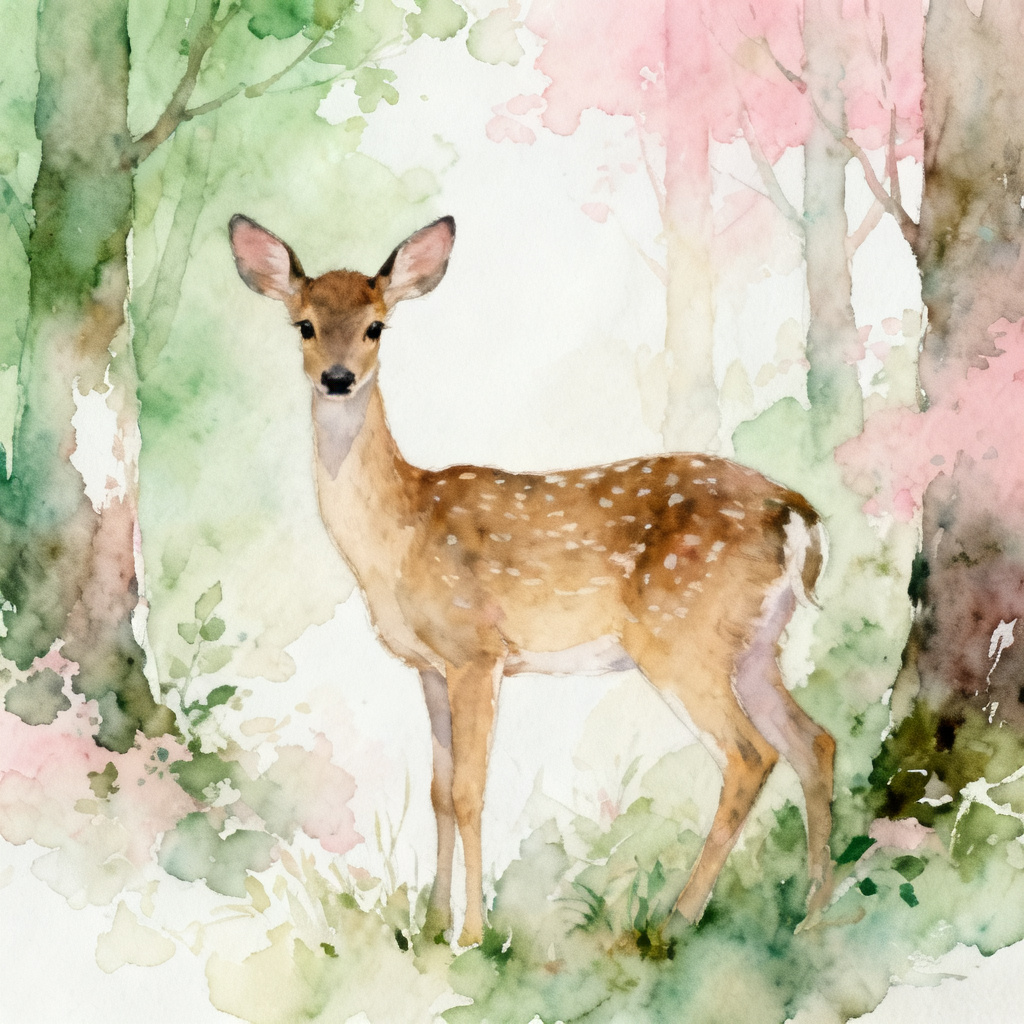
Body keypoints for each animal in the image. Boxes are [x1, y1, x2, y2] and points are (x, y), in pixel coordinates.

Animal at [229, 212, 836, 946]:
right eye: (305, 325)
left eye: (376, 326)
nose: (338, 378)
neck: (398, 534)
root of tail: (798, 515)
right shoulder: (430, 666)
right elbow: (438, 791)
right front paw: (431, 926)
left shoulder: (477, 651)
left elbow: (470, 791)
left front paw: (471, 935)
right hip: (753, 644)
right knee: (815, 742)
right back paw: (811, 914)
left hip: (681, 638)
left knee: (751, 755)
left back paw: (676, 920)